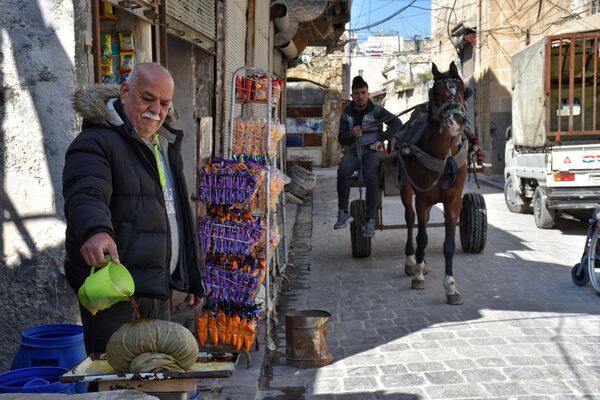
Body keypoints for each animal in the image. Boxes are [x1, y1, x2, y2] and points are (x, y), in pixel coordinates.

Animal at [396, 61, 472, 304]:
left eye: (461, 89)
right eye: (437, 92)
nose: (456, 122)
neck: (444, 156)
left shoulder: (453, 201)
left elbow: (449, 245)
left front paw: (451, 287)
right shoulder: (422, 199)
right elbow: (422, 237)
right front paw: (418, 275)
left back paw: (423, 262)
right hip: (405, 188)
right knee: (411, 220)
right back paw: (412, 261)